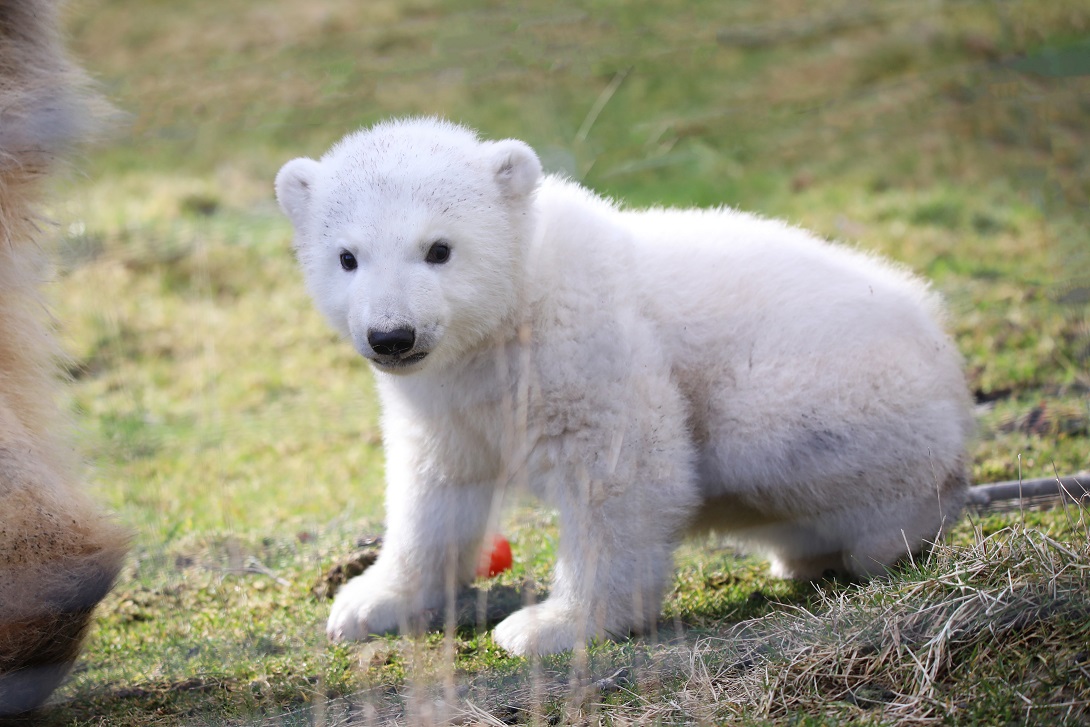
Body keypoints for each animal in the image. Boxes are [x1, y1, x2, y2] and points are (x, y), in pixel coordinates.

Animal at [275, 117, 973, 657]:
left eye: (439, 249)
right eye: (347, 257)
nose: (392, 336)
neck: (513, 311)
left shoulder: (589, 346)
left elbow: (621, 473)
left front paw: (549, 627)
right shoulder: (446, 393)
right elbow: (437, 485)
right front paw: (368, 604)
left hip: (842, 389)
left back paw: (878, 539)